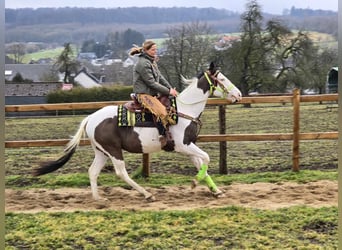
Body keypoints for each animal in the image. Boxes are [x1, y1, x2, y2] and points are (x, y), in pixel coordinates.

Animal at [31, 63, 240, 201]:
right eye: (221, 79)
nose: (238, 94)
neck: (183, 110)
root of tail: (90, 118)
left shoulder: (189, 147)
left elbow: (201, 165)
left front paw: (215, 190)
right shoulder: (183, 146)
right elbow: (206, 159)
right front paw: (195, 183)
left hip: (101, 152)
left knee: (93, 172)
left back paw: (98, 198)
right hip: (114, 150)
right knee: (121, 172)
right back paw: (146, 194)